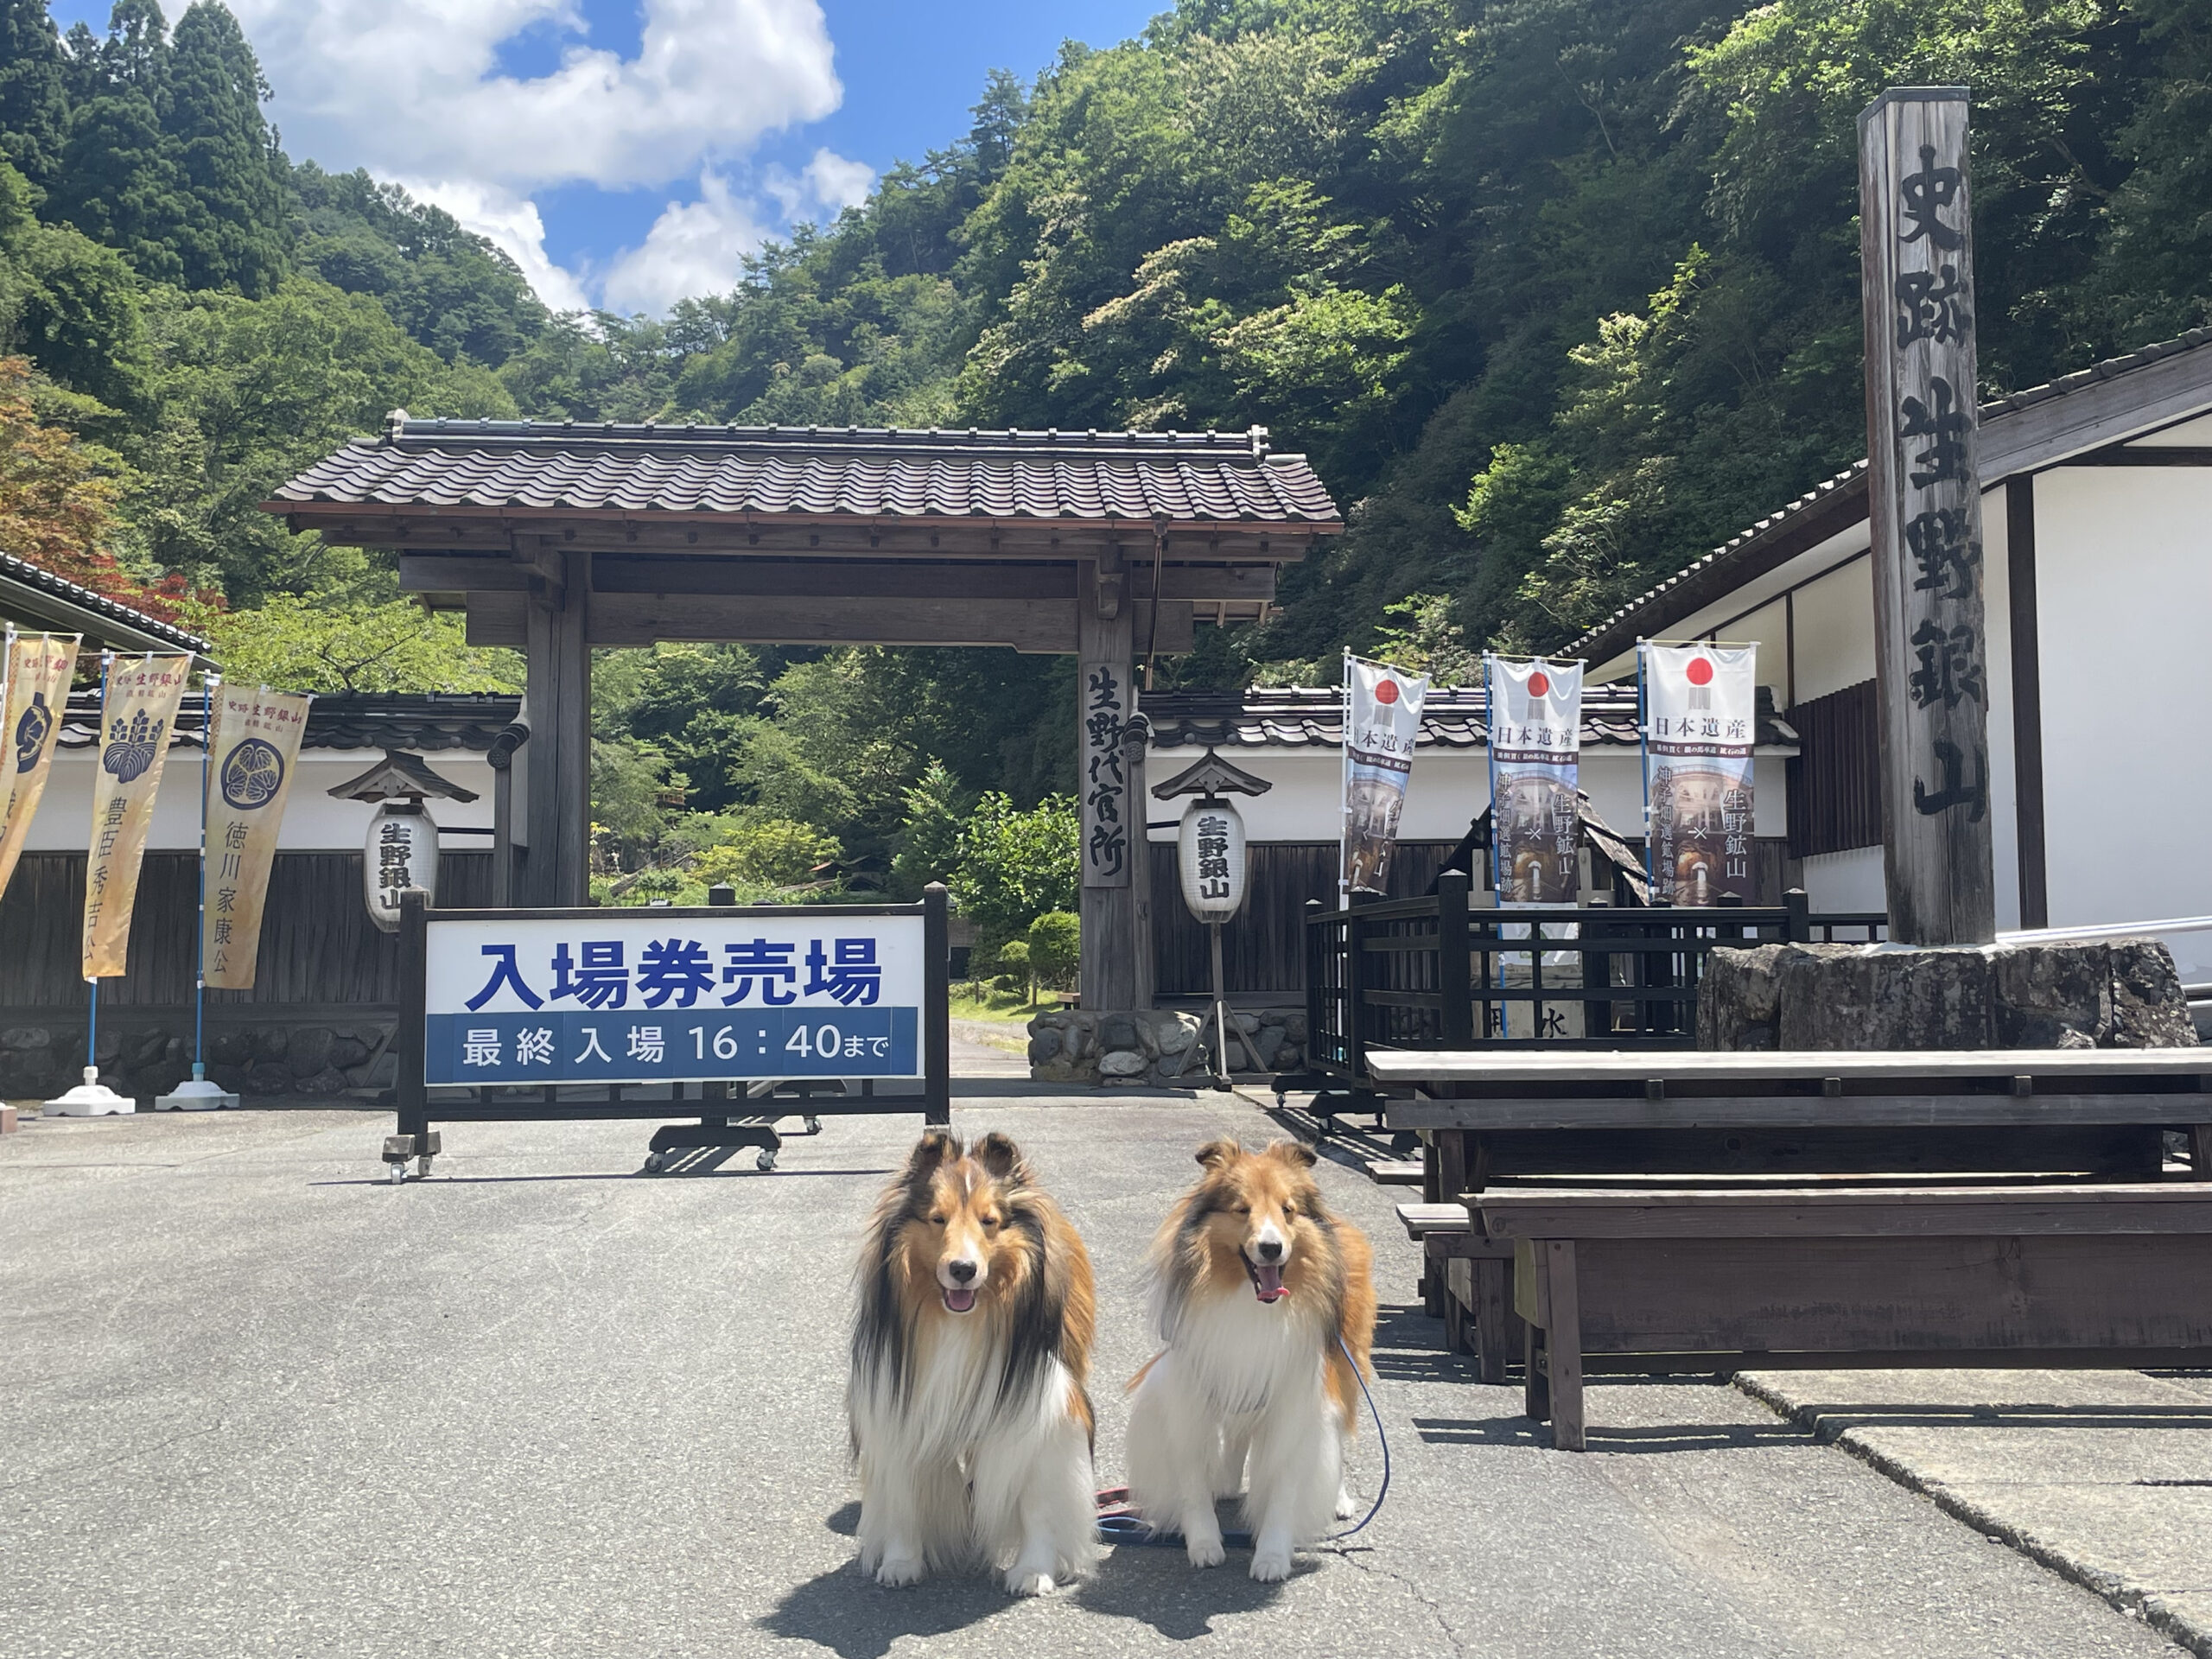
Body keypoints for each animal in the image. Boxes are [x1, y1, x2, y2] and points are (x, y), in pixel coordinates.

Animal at [844, 1132, 1096, 1601]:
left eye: (989, 1221)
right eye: (937, 1219)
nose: (963, 1269)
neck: (960, 1322)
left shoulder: (1042, 1413)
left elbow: (1036, 1501)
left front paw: (1033, 1569)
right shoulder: (900, 1408)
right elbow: (905, 1494)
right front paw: (901, 1561)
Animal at [1132, 1141, 1371, 1583]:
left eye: (1288, 1209)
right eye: (1241, 1209)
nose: (1272, 1248)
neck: (1249, 1301)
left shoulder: (1295, 1400)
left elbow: (1285, 1486)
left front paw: (1272, 1556)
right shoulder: (1191, 1394)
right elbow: (1192, 1480)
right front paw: (1204, 1542)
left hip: (1348, 1367)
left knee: (1337, 1429)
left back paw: (1340, 1498)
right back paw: (1226, 1481)